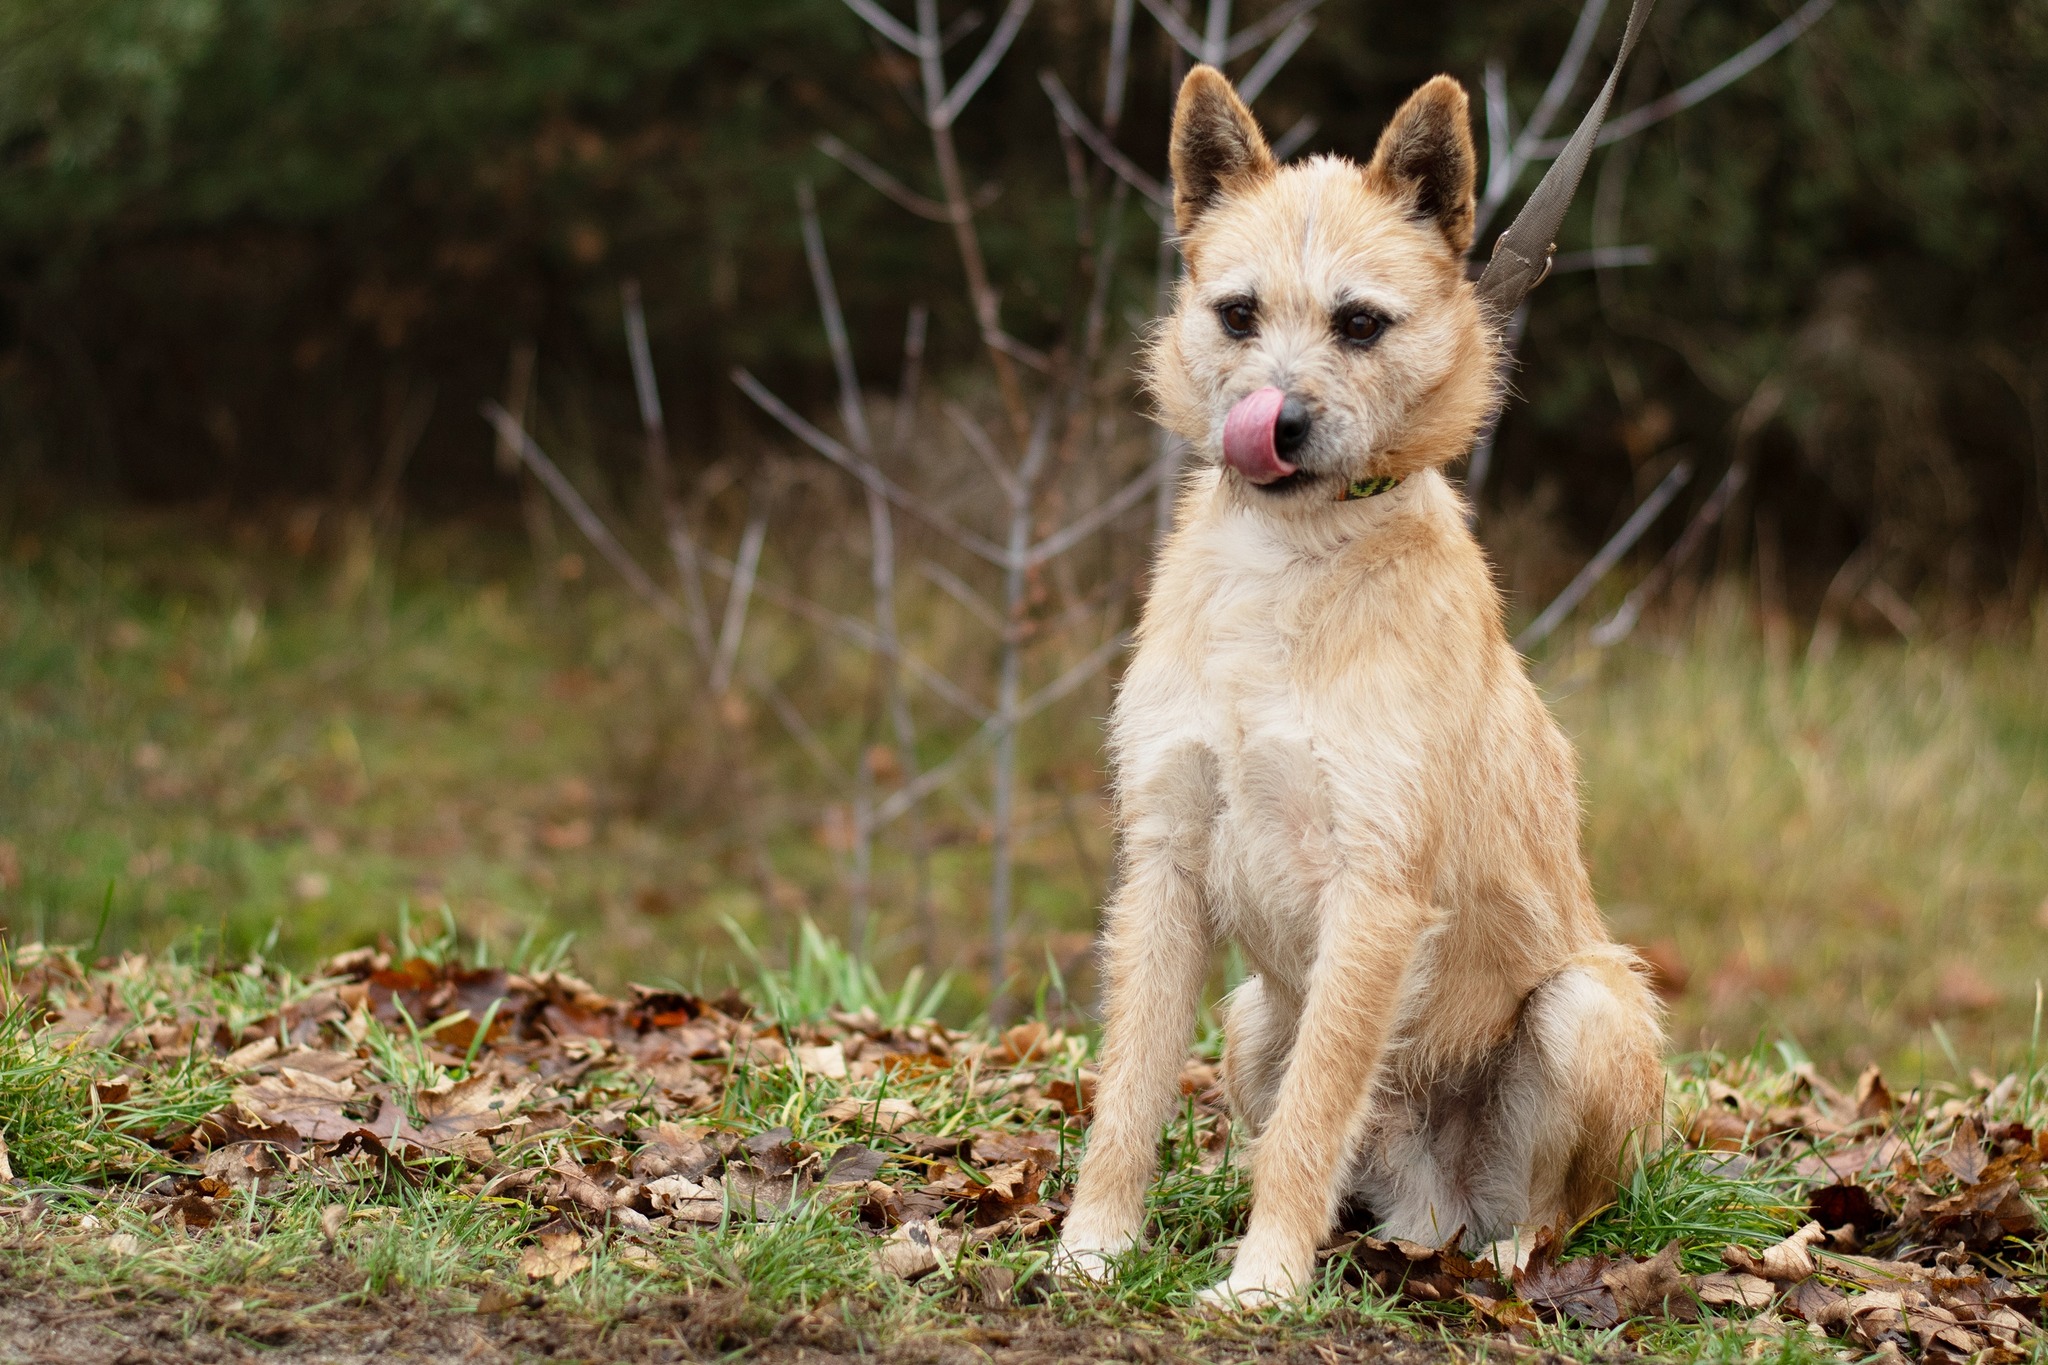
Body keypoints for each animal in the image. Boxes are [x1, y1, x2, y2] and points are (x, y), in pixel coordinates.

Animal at [1056, 66, 1662, 1309]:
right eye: (1236, 313)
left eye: (1359, 323)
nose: (1277, 423)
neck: (1287, 566)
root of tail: (1434, 1209)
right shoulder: (1163, 865)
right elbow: (1127, 1091)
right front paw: (1092, 1245)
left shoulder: (1373, 892)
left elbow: (1311, 1116)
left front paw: (1259, 1285)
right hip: (1249, 1015)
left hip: (1581, 1011)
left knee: (1545, 1209)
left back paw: (1502, 1264)